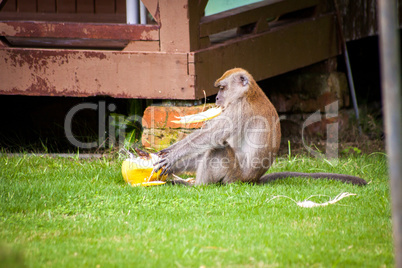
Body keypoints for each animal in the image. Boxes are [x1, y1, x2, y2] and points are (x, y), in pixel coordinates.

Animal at [154, 68, 368, 185]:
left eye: (222, 88)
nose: (216, 99)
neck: (248, 93)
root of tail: (252, 179)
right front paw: (167, 154)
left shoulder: (239, 109)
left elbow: (212, 137)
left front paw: (171, 156)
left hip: (235, 175)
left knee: (218, 149)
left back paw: (196, 186)